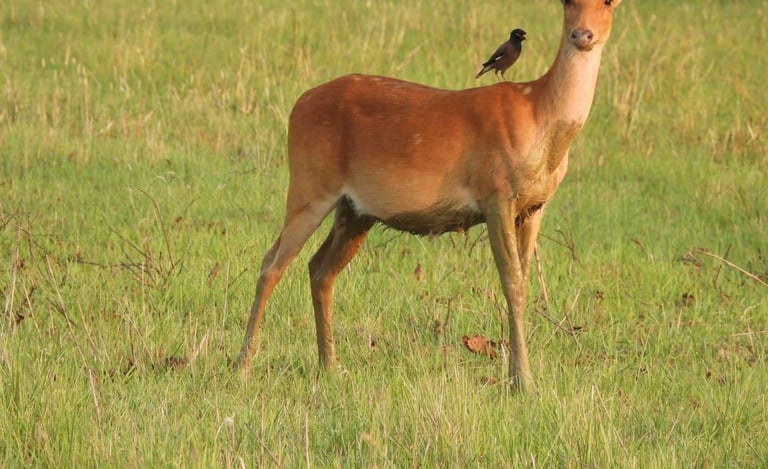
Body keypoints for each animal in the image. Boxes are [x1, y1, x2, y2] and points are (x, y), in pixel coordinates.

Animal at [235, 0, 623, 392]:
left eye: (608, 3)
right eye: (567, 3)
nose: (582, 35)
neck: (543, 124)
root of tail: (297, 105)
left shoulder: (534, 206)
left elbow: (525, 280)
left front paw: (521, 376)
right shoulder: (495, 193)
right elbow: (511, 282)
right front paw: (523, 382)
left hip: (355, 211)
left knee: (319, 268)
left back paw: (330, 365)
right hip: (309, 184)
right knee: (271, 264)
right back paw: (243, 366)